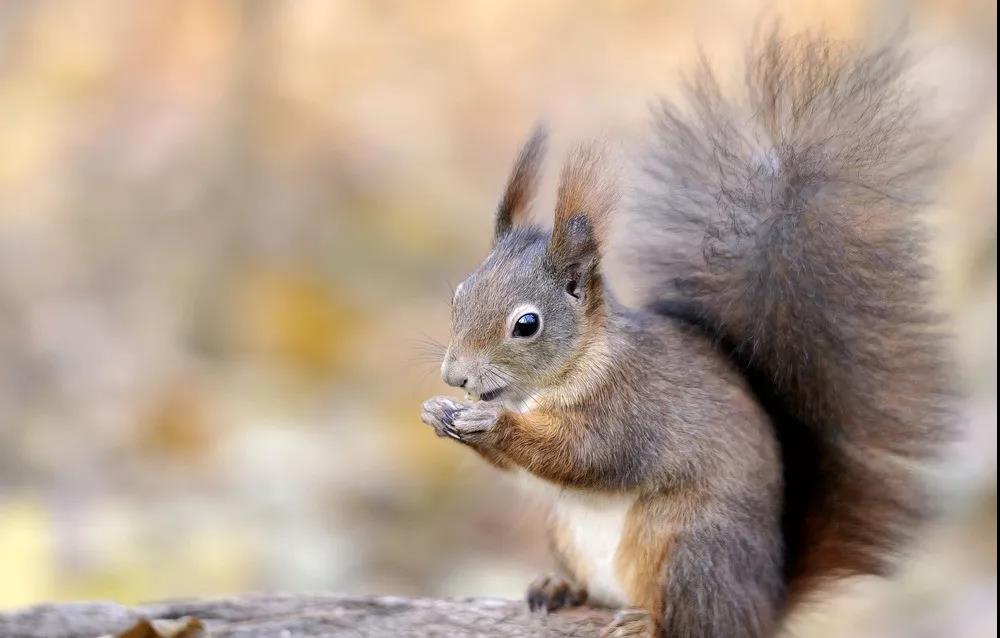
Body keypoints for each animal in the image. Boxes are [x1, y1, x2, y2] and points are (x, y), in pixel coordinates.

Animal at [418, 30, 948, 638]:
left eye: (526, 325)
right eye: (459, 293)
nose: (454, 376)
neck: (566, 373)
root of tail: (762, 607)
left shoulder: (631, 407)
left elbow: (585, 455)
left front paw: (492, 424)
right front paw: (439, 413)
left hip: (684, 542)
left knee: (688, 618)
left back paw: (644, 622)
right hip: (573, 534)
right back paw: (561, 587)